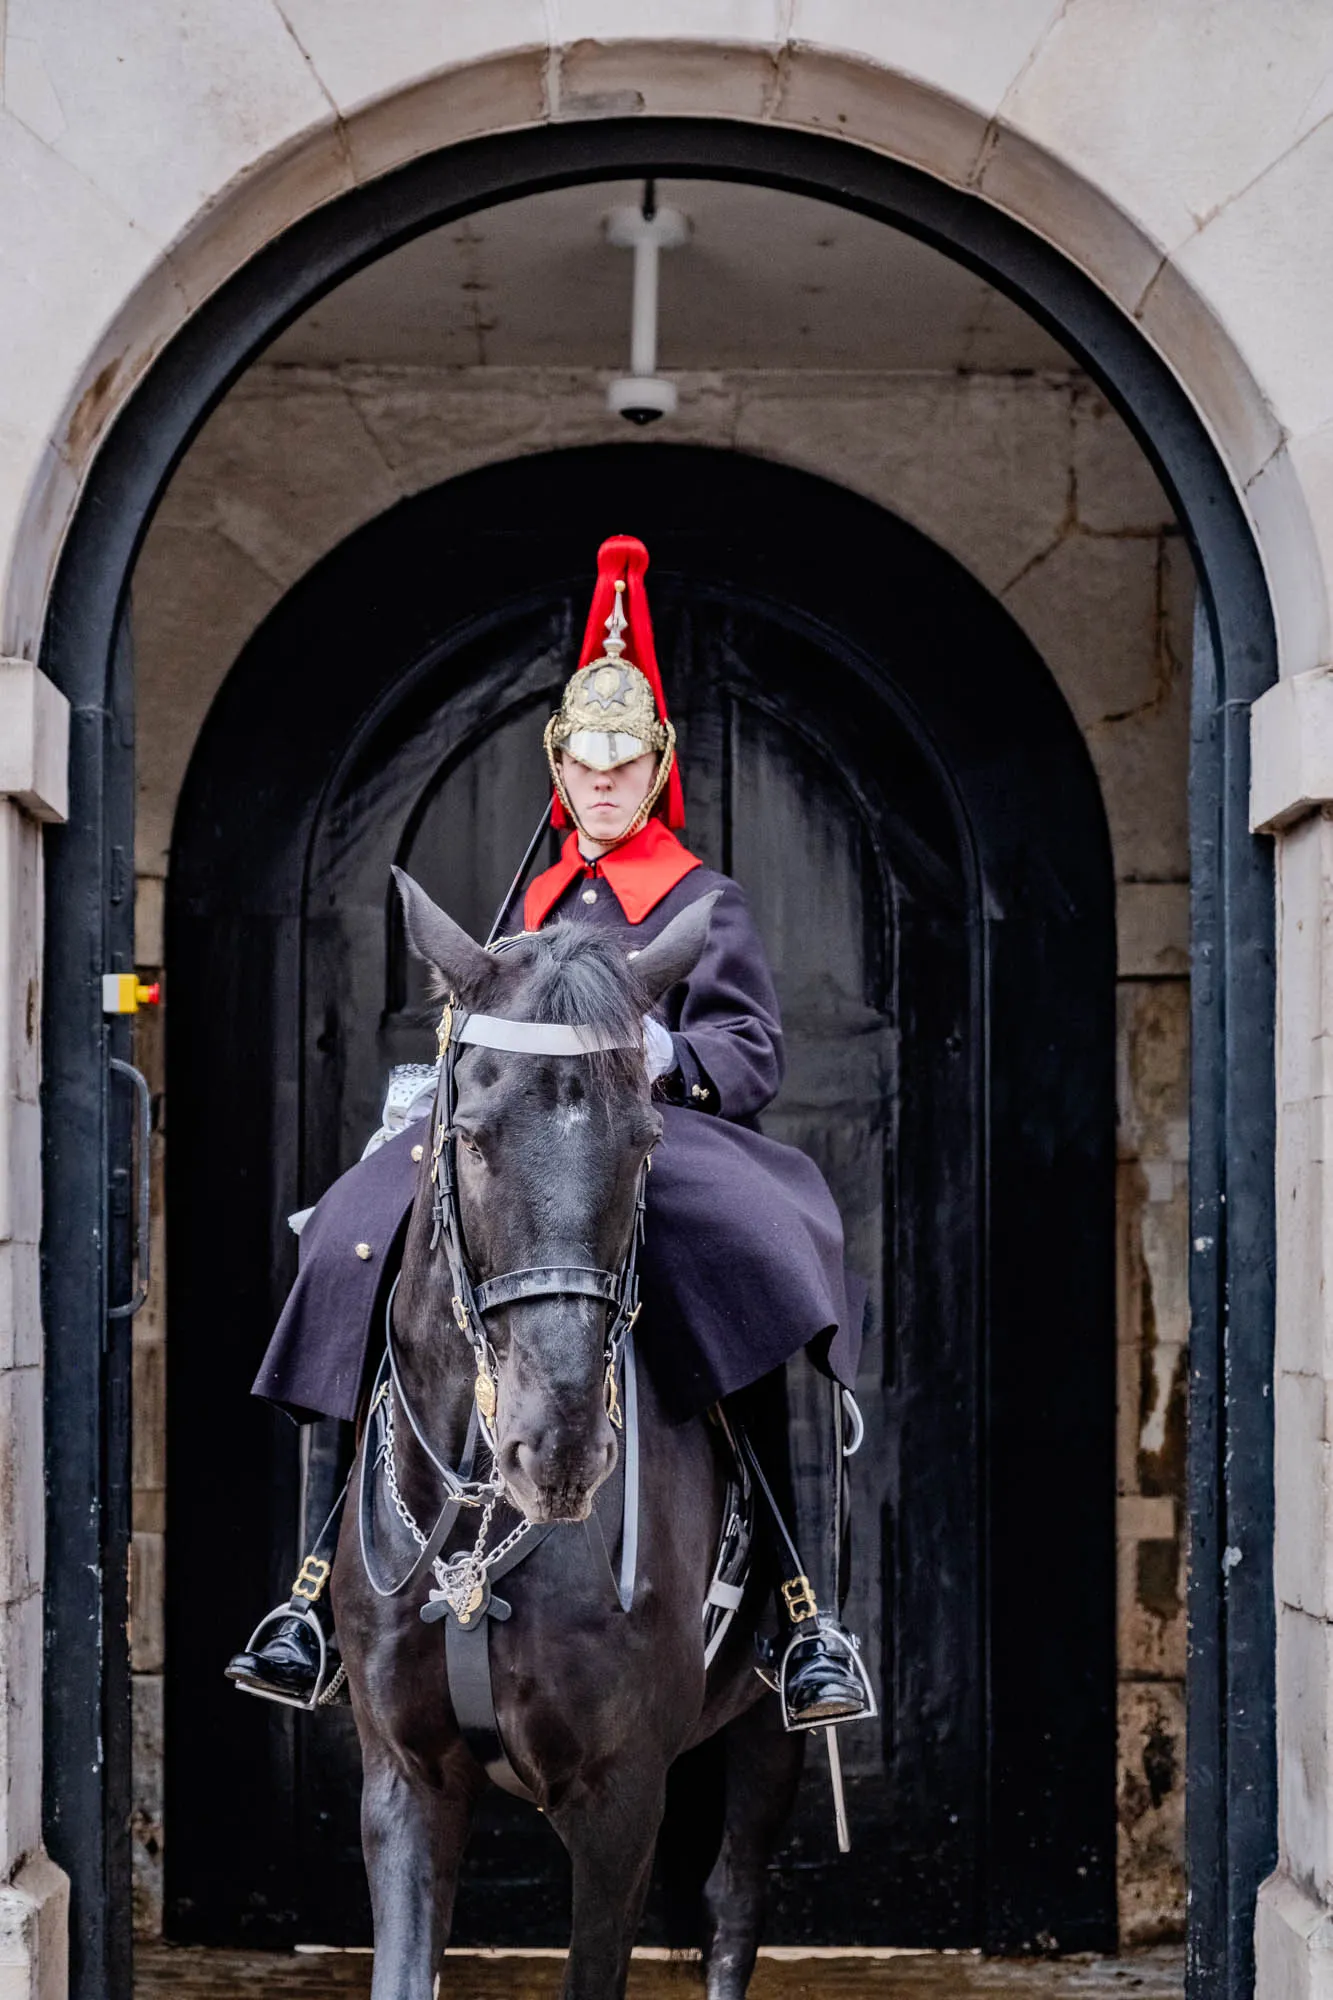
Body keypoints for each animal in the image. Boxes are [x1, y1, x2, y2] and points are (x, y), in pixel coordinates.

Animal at [338, 876, 804, 2000]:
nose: (556, 1447)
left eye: (644, 1140)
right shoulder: (405, 1778)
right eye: (469, 1136)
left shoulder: (619, 1795)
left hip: (766, 1736)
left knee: (732, 1906)